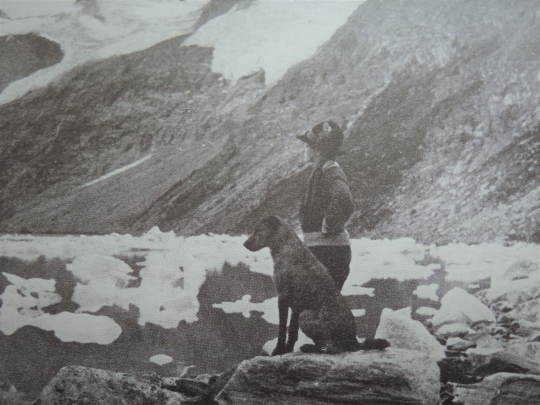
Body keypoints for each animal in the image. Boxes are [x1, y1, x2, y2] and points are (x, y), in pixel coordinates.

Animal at [244, 215, 388, 354]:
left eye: (258, 230)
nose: (244, 244)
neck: (285, 246)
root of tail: (353, 341)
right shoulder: (296, 306)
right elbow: (292, 331)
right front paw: (288, 349)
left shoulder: (284, 298)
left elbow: (283, 328)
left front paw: (278, 350)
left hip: (305, 316)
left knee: (333, 348)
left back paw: (311, 348)